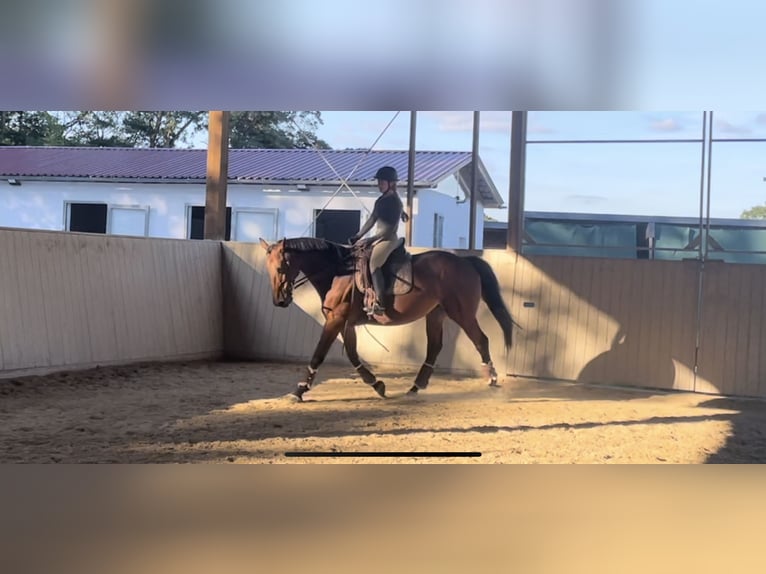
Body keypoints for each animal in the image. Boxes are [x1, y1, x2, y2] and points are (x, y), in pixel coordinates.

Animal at [258, 236, 516, 402]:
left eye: (281, 267)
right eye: (268, 268)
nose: (279, 301)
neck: (337, 271)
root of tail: (465, 261)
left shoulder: (335, 320)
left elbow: (318, 354)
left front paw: (299, 390)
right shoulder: (345, 323)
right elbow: (352, 355)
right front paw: (377, 385)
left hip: (461, 313)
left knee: (481, 340)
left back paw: (492, 379)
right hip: (436, 314)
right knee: (434, 347)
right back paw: (415, 387)